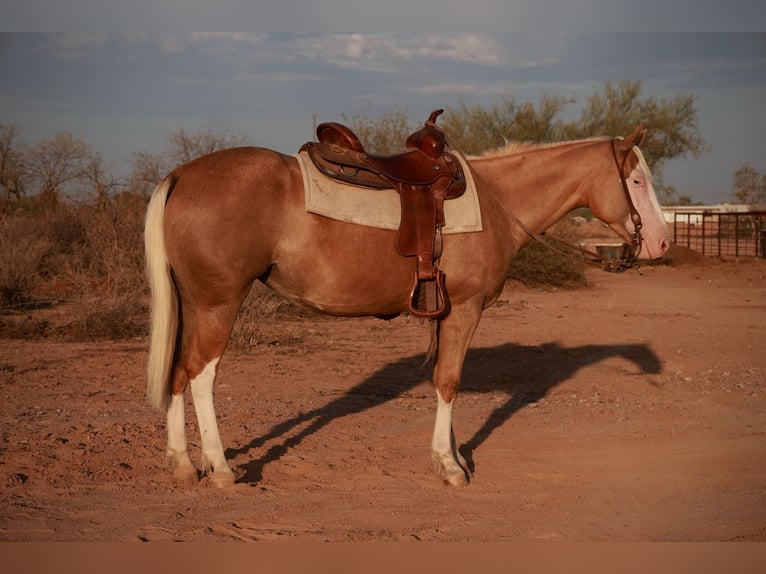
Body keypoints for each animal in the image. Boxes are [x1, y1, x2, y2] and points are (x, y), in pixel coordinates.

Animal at [144, 124, 670, 488]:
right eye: (636, 180)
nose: (662, 243)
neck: (497, 202)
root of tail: (180, 175)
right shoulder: (465, 309)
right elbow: (449, 381)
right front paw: (450, 465)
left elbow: (442, 379)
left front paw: (452, 455)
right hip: (220, 302)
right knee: (202, 375)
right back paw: (220, 468)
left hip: (195, 304)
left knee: (178, 372)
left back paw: (183, 464)